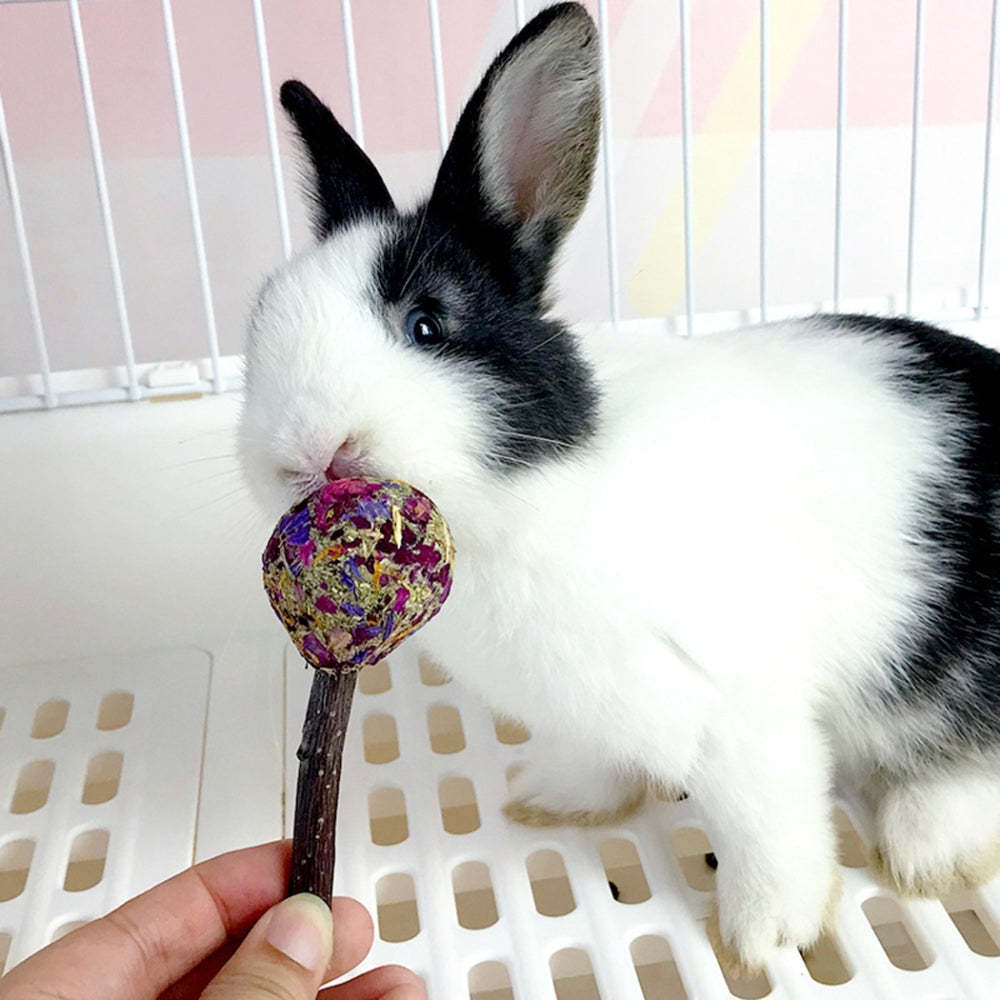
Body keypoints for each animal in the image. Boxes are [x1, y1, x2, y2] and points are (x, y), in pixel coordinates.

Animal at [239, 1, 1000, 973]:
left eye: (428, 324)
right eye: (260, 325)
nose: (308, 450)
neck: (535, 491)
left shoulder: (741, 707)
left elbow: (769, 823)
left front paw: (768, 935)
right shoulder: (595, 711)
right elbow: (600, 759)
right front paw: (551, 797)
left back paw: (928, 847)